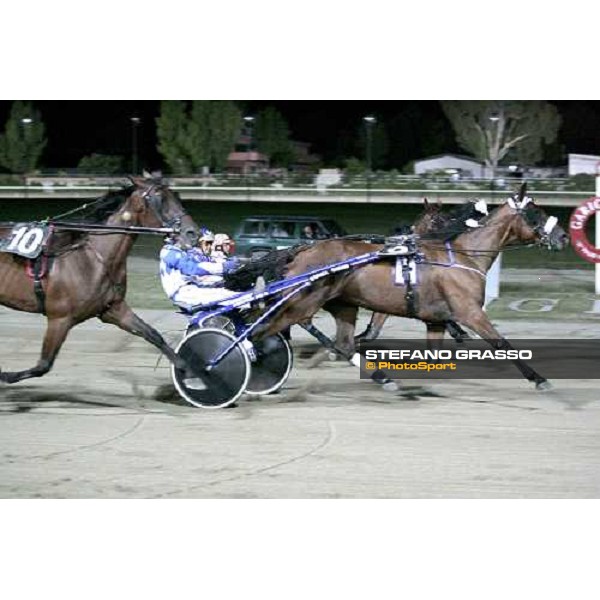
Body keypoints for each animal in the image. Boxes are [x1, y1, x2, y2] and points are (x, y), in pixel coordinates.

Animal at [258, 189, 568, 394]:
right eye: (535, 212)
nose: (563, 236)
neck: (463, 256)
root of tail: (299, 252)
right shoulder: (470, 313)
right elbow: (502, 344)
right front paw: (539, 379)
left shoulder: (436, 320)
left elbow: (433, 353)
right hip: (305, 301)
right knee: (280, 326)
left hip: (342, 304)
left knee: (341, 343)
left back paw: (378, 376)